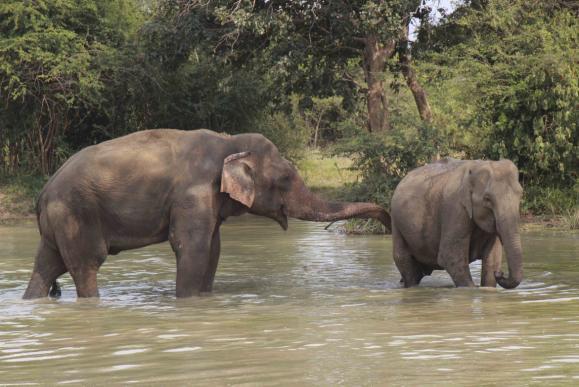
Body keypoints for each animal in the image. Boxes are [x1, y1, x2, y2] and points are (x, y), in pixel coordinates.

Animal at [24, 129, 392, 298]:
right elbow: (193, 247)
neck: (230, 141)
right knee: (86, 264)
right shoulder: (193, 194)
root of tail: (43, 192)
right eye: (285, 180)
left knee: (47, 266)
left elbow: (214, 250)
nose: (388, 222)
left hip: (57, 222)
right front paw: (187, 303)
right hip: (76, 214)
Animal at [392, 159, 524, 290]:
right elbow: (450, 256)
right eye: (487, 199)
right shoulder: (455, 208)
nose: (500, 273)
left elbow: (492, 258)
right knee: (405, 264)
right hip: (397, 224)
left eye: (520, 194)